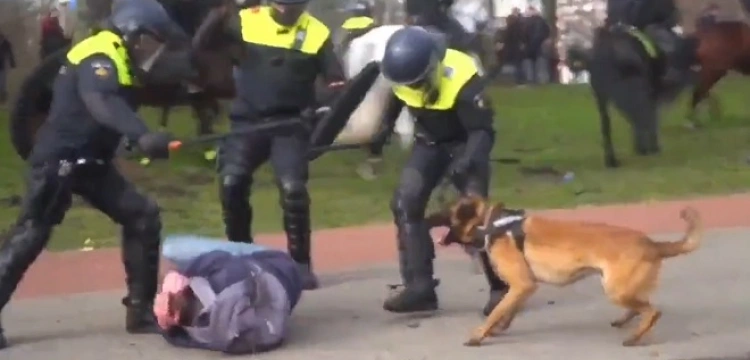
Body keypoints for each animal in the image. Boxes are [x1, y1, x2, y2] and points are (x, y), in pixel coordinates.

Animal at [428, 195, 704, 348]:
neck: (489, 224)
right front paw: (497, 328)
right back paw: (626, 322)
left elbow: (496, 312)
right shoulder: (523, 288)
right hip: (620, 288)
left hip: (615, 289)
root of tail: (652, 244)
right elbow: (506, 311)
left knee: (652, 311)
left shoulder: (522, 285)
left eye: (445, 211)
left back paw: (635, 338)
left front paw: (479, 335)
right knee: (641, 307)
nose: (424, 216)